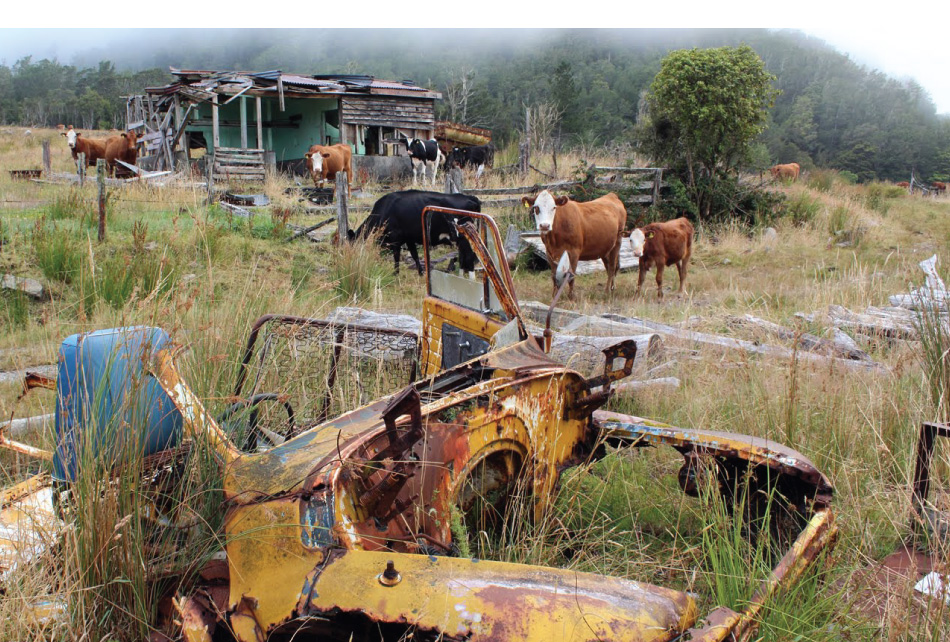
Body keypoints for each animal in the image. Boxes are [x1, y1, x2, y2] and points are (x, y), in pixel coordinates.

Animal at [348, 188, 484, 272]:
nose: (351, 259)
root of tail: (471, 197)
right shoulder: (409, 238)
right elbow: (415, 255)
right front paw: (420, 272)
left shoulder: (395, 238)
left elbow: (396, 257)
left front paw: (395, 273)